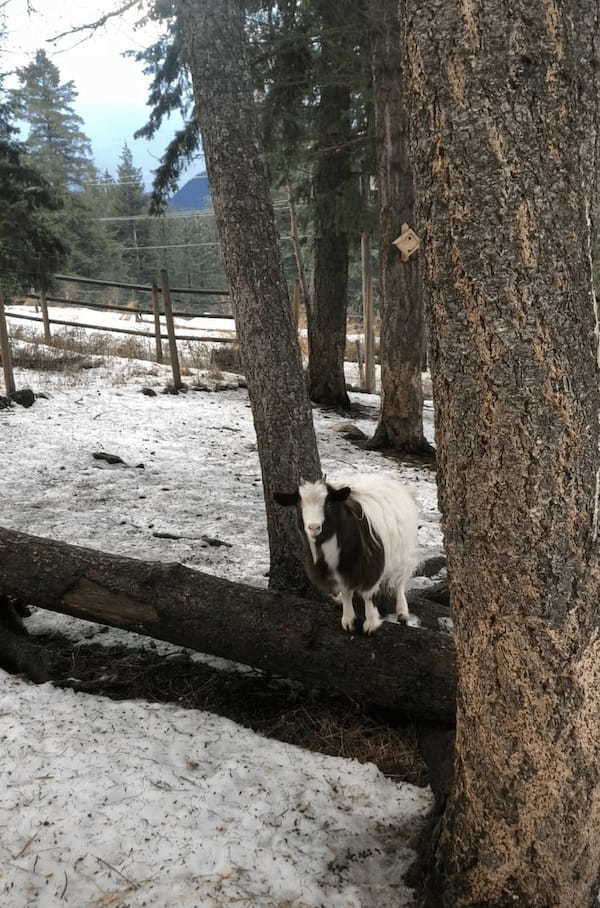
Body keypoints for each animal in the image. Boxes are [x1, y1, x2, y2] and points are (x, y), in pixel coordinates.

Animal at [276, 472, 420, 636]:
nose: (313, 527)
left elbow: (368, 594)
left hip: (404, 553)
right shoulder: (339, 571)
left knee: (400, 582)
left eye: (328, 503)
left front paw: (370, 624)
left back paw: (402, 613)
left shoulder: (370, 565)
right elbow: (345, 592)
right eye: (299, 504)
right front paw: (348, 620)